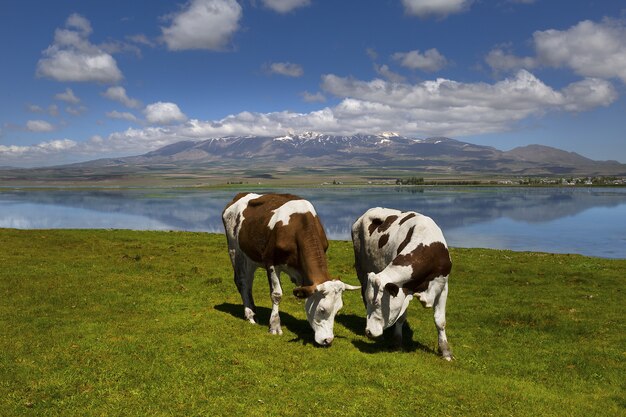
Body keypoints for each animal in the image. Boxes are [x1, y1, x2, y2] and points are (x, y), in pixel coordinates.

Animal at [222, 192, 358, 344]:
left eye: (338, 310)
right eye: (322, 309)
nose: (328, 340)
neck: (298, 226)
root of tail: (239, 195)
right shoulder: (271, 262)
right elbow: (276, 294)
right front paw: (275, 326)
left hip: (251, 257)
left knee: (248, 282)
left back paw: (254, 312)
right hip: (235, 251)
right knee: (242, 282)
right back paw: (250, 315)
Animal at [348, 206, 450, 360]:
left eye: (377, 303)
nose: (369, 332)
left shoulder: (442, 286)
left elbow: (440, 321)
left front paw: (445, 352)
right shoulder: (403, 291)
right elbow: (400, 318)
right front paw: (397, 342)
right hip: (361, 269)